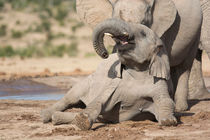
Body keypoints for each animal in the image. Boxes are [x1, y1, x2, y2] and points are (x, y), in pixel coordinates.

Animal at [40, 20, 176, 131]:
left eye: (143, 33)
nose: (105, 54)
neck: (138, 70)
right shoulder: (114, 84)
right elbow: (99, 100)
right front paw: (82, 120)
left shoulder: (159, 83)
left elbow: (166, 101)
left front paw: (169, 121)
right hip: (86, 81)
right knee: (70, 98)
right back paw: (45, 116)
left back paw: (56, 118)